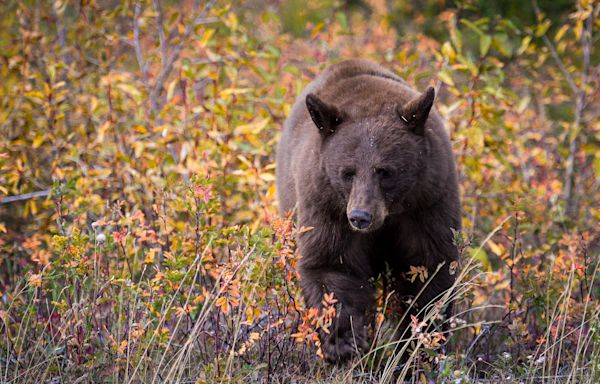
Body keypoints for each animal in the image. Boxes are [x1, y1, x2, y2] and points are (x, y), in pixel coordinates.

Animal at [276, 60, 460, 364]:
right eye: (347, 172)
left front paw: (420, 345)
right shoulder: (326, 204)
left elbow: (429, 268)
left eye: (384, 171)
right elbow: (331, 265)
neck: (388, 217)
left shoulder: (428, 202)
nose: (360, 217)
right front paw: (344, 343)